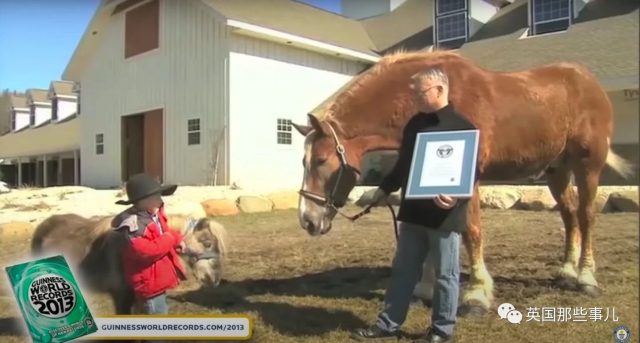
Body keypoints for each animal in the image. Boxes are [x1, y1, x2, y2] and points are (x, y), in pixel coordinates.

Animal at [294, 50, 636, 318]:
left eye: (321, 161)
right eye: (303, 161)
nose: (307, 220)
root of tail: (589, 82)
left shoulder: (468, 177)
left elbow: (472, 232)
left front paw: (477, 294)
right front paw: (426, 289)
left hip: (587, 166)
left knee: (586, 216)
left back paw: (586, 277)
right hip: (557, 170)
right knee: (569, 217)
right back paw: (566, 270)